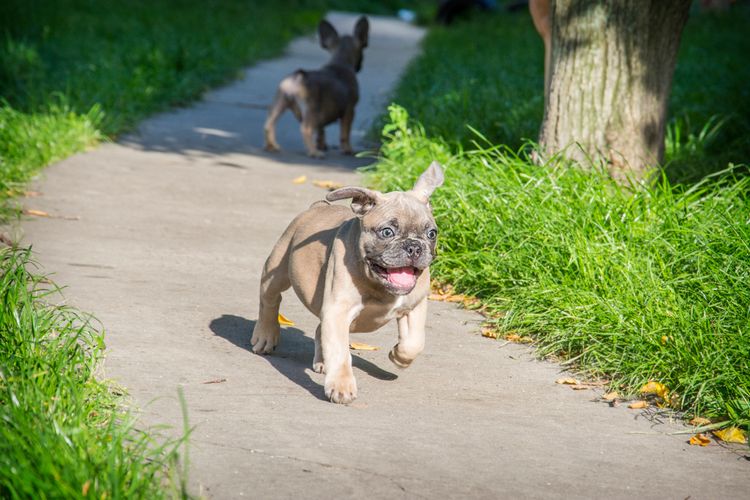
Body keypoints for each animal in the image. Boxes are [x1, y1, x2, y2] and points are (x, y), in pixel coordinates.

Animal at [251, 162, 446, 404]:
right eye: (387, 232)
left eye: (432, 233)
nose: (414, 247)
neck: (379, 286)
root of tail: (317, 206)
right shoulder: (338, 311)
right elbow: (341, 353)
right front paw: (341, 386)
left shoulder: (414, 307)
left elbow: (415, 342)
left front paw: (399, 356)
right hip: (278, 269)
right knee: (269, 299)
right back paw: (265, 336)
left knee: (319, 328)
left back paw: (322, 361)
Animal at [264, 16, 370, 158]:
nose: (359, 67)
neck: (340, 60)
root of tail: (297, 78)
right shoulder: (350, 110)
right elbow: (345, 133)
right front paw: (348, 150)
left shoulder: (322, 115)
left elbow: (321, 131)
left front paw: (322, 144)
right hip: (311, 110)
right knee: (306, 129)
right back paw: (314, 152)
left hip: (280, 102)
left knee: (269, 124)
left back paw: (272, 146)